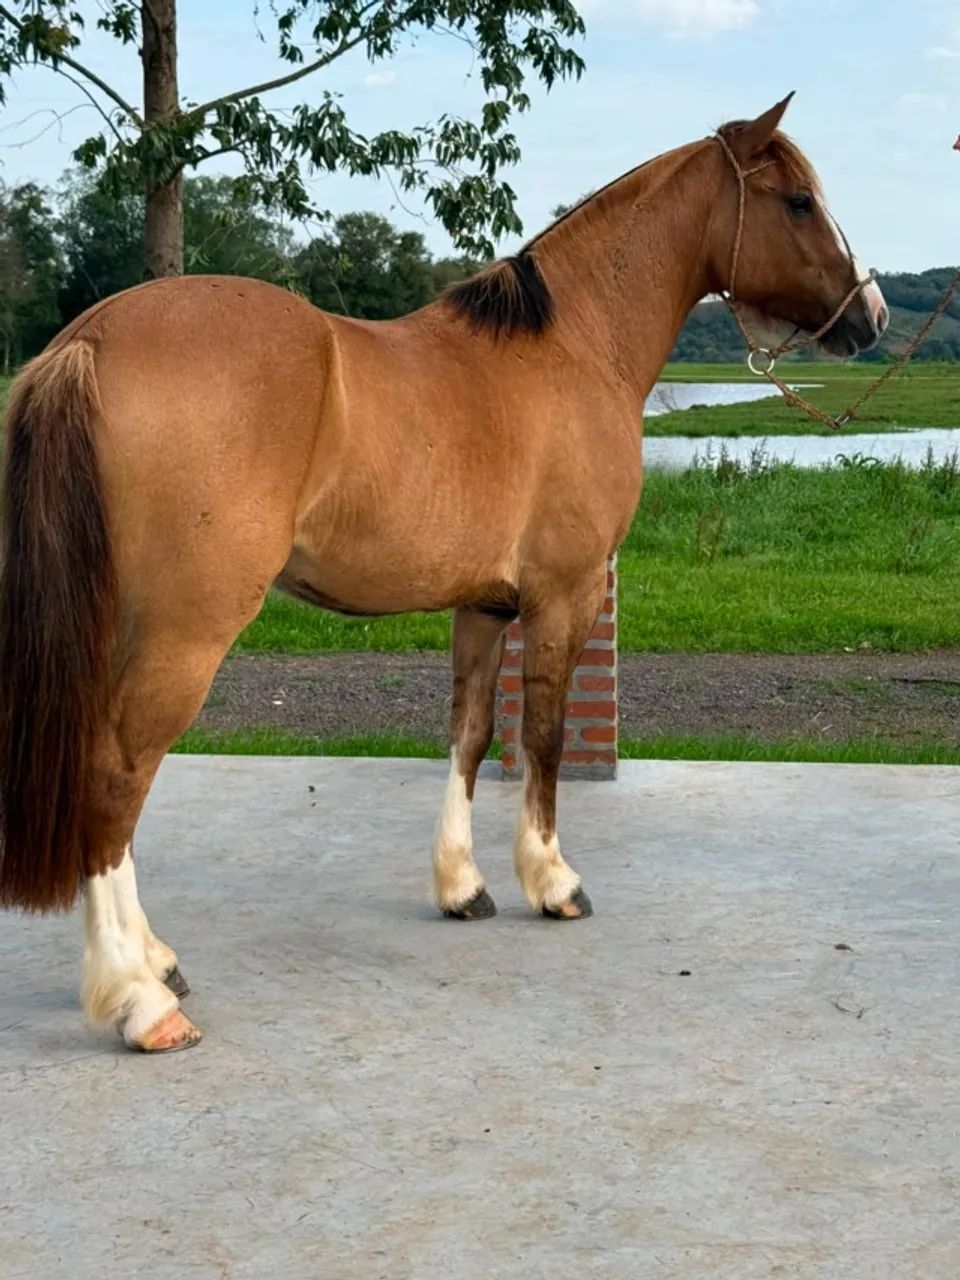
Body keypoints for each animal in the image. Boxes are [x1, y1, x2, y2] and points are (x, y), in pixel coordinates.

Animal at [0, 94, 888, 1052]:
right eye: (797, 201)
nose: (870, 317)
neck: (574, 346)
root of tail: (89, 340)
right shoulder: (566, 595)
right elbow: (542, 737)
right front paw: (554, 882)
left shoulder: (484, 607)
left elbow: (469, 735)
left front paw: (464, 887)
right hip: (182, 631)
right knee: (117, 774)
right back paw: (140, 999)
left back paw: (157, 962)